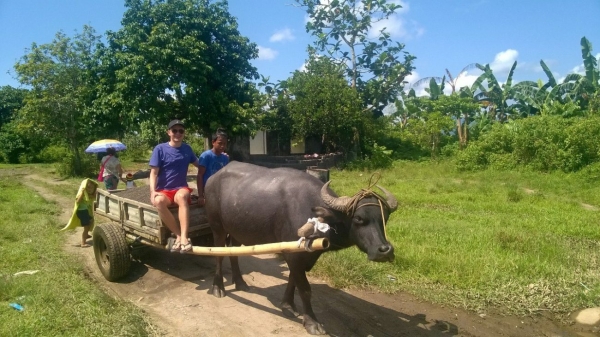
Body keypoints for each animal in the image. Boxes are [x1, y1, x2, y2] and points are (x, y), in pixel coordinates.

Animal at [204, 161, 396, 334]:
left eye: (385, 218)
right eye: (358, 218)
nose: (385, 250)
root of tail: (213, 178)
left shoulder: (301, 255)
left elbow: (293, 280)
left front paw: (288, 305)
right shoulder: (294, 255)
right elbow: (304, 289)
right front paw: (312, 322)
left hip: (236, 230)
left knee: (233, 252)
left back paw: (240, 282)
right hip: (217, 226)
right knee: (219, 254)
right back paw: (218, 288)